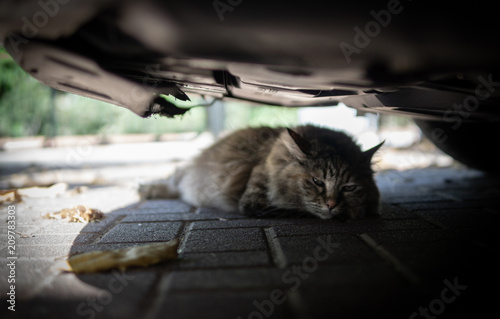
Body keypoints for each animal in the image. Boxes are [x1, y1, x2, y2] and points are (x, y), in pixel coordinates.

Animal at [139, 125, 384, 220]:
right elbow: (302, 211)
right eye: (317, 181)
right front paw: (354, 212)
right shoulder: (255, 202)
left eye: (349, 187)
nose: (331, 204)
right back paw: (147, 189)